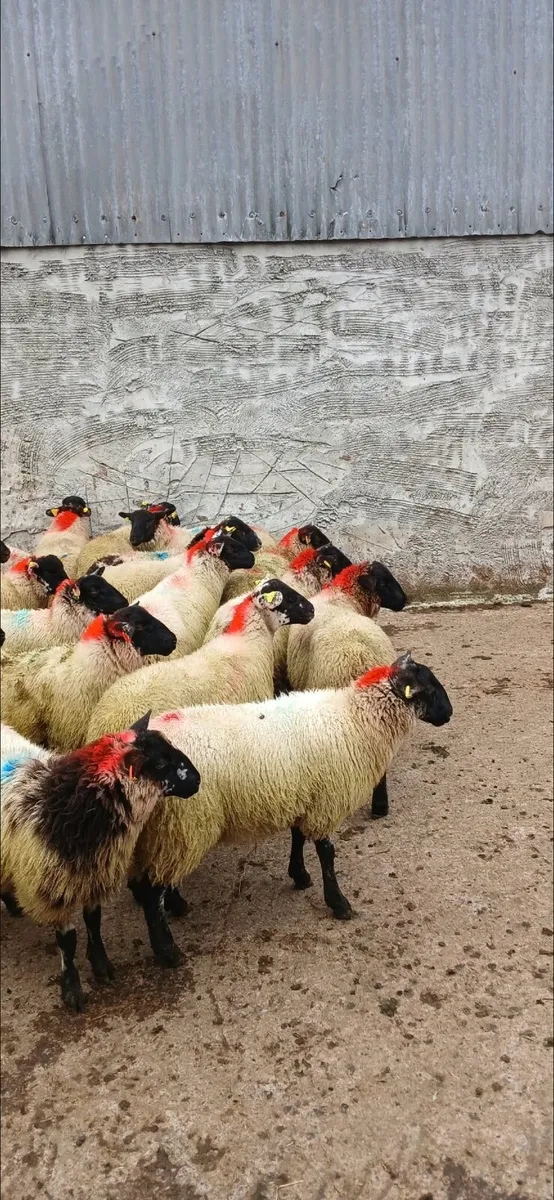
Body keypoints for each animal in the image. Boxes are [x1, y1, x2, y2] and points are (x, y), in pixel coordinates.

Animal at [1, 712, 200, 1011]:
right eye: (160, 763)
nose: (198, 780)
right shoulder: (53, 886)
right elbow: (67, 941)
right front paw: (72, 989)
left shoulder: (94, 875)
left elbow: (94, 921)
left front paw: (101, 964)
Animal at [130, 654, 452, 964]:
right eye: (430, 688)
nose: (449, 713)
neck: (356, 719)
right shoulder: (327, 801)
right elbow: (326, 853)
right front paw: (338, 903)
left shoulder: (304, 795)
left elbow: (298, 836)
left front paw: (299, 875)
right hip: (186, 824)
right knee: (151, 890)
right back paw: (168, 951)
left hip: (169, 832)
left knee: (157, 876)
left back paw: (177, 905)